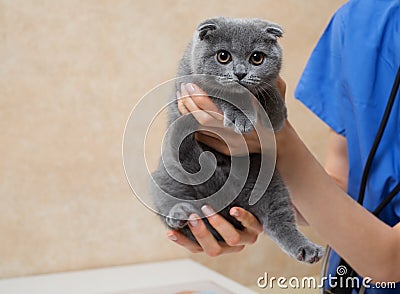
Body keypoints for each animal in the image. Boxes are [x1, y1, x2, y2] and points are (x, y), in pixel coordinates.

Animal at [152, 16, 324, 264]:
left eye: (257, 58)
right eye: (223, 56)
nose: (240, 73)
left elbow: (268, 88)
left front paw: (277, 113)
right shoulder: (191, 84)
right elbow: (226, 95)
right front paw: (241, 116)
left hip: (270, 184)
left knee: (279, 221)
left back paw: (307, 249)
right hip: (168, 174)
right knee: (170, 202)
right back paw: (180, 213)